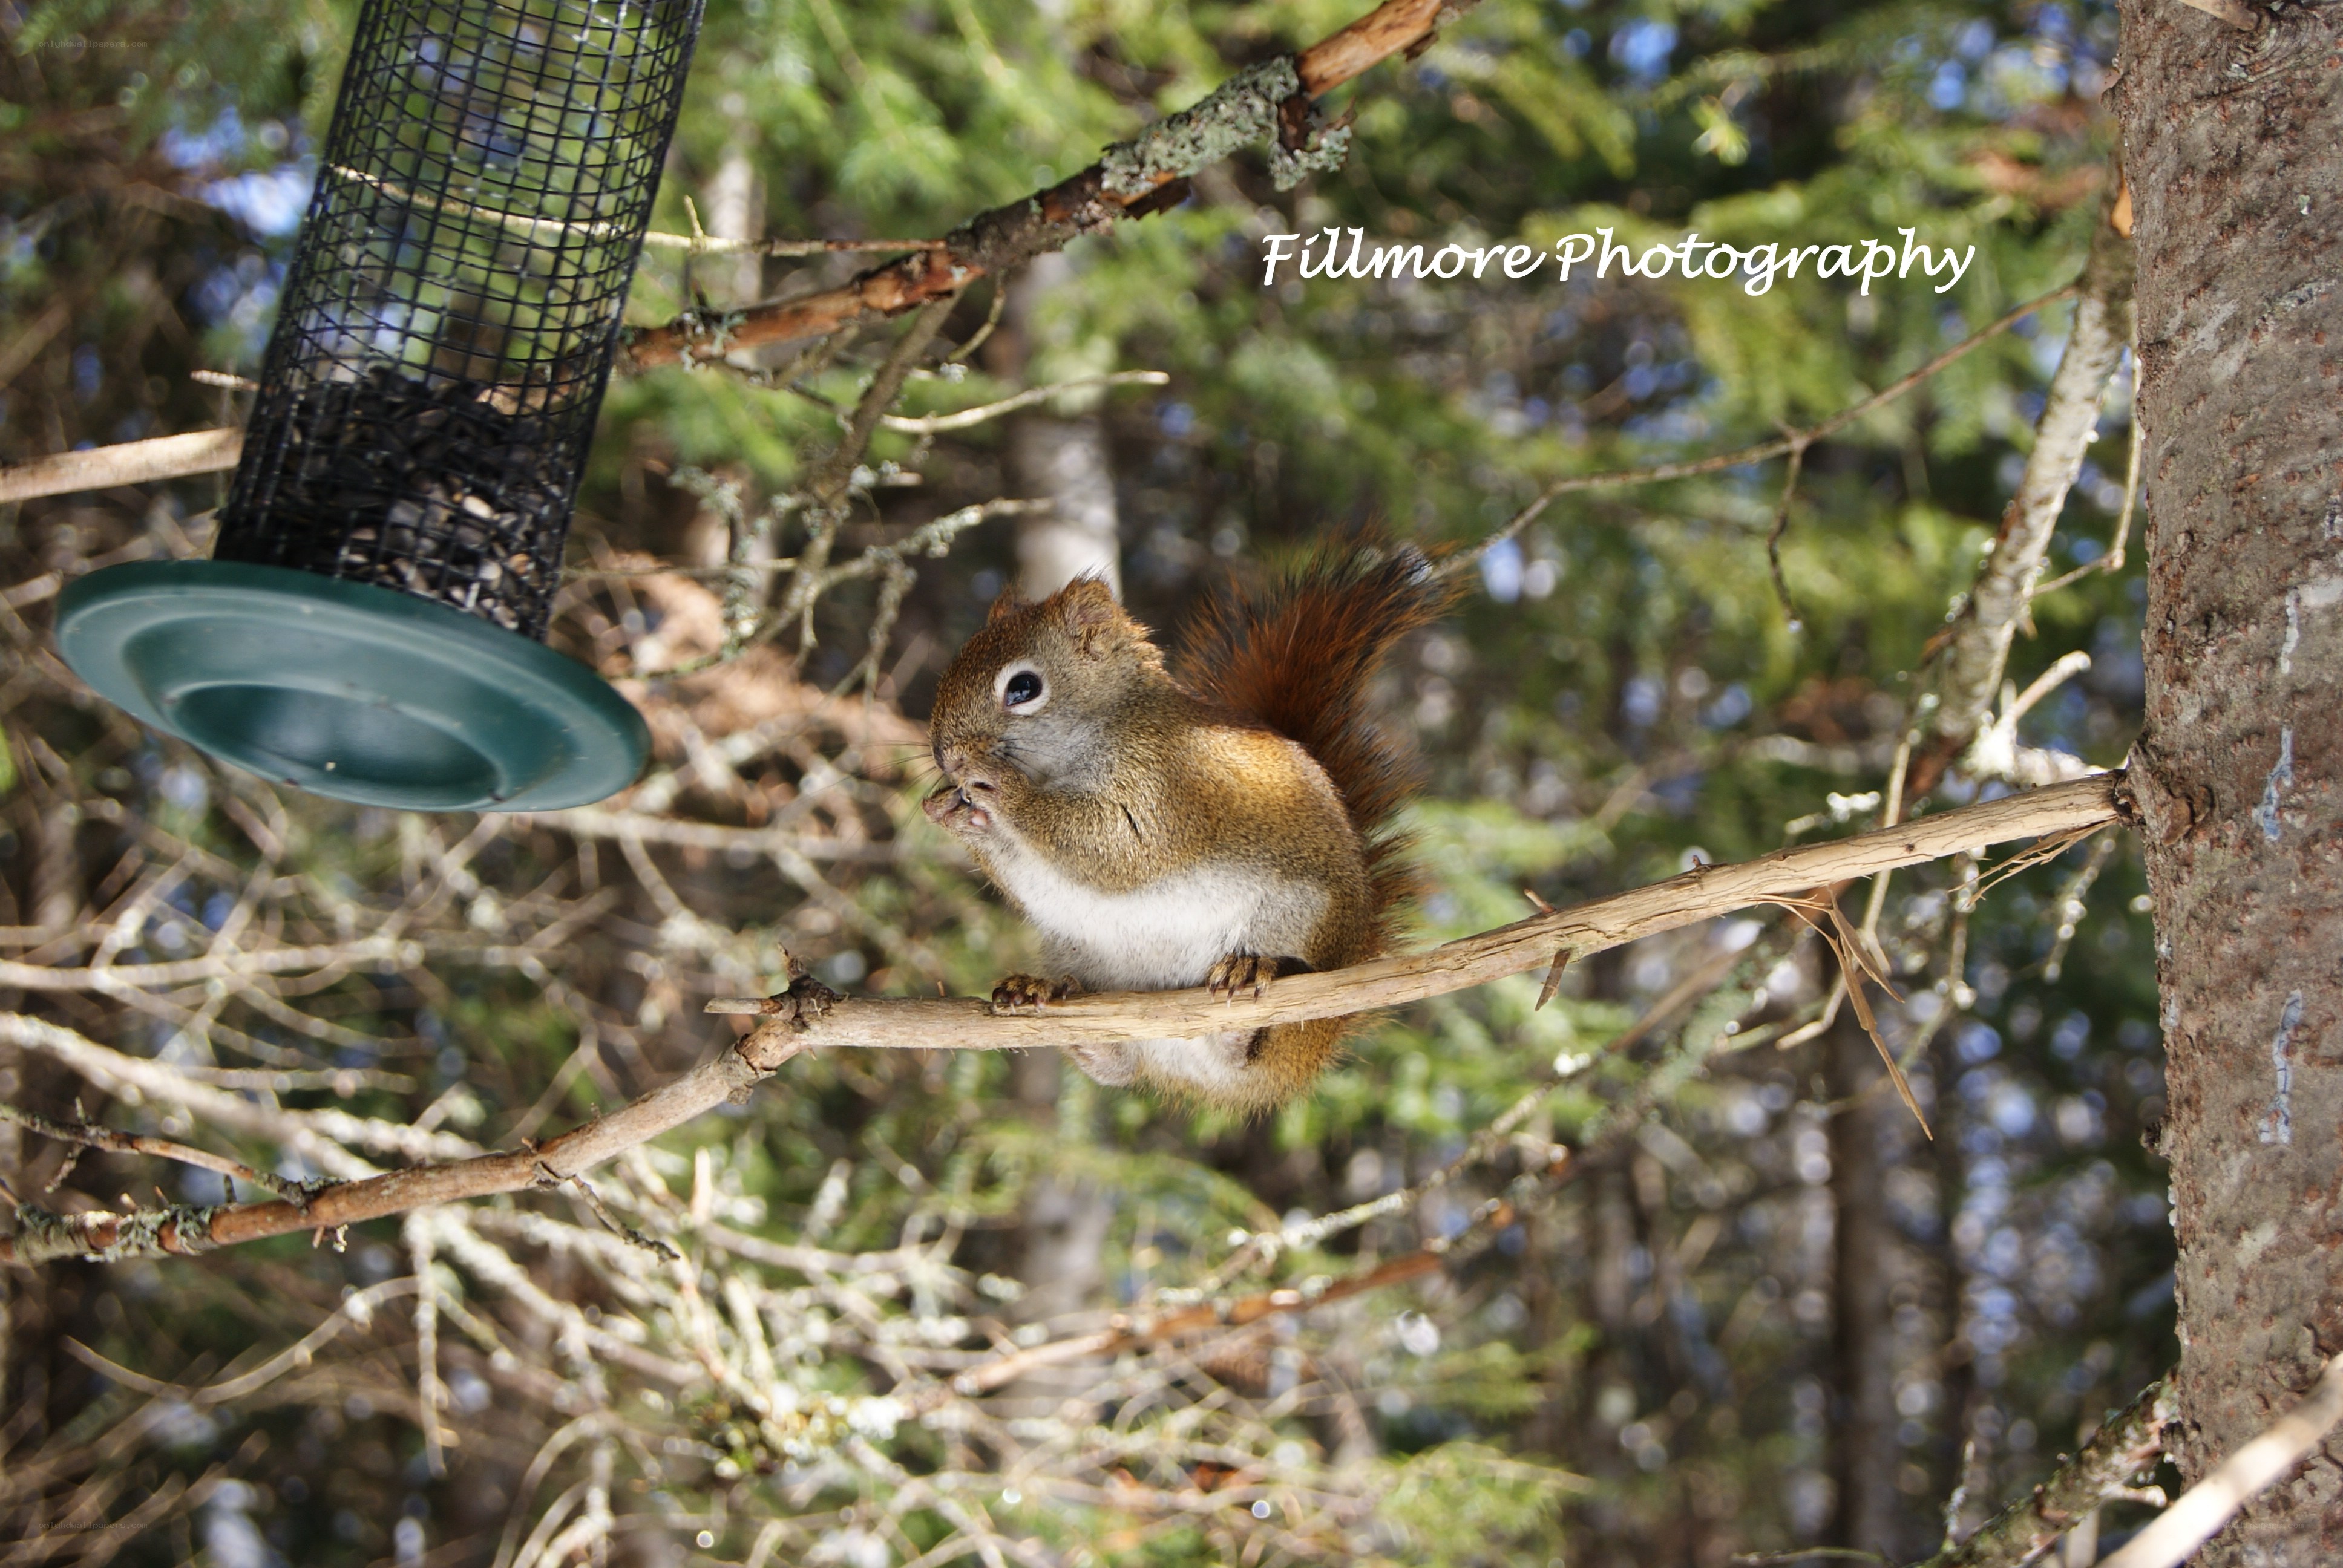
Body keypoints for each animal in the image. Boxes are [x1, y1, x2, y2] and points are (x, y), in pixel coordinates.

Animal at [922, 542, 1455, 1111]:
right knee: (1116, 1066)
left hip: (1301, 930)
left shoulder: (1168, 790)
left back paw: (1246, 994)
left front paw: (1001, 789)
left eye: (1023, 688)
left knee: (1260, 1045)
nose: (948, 756)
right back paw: (1055, 1000)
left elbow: (1114, 851)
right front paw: (953, 813)